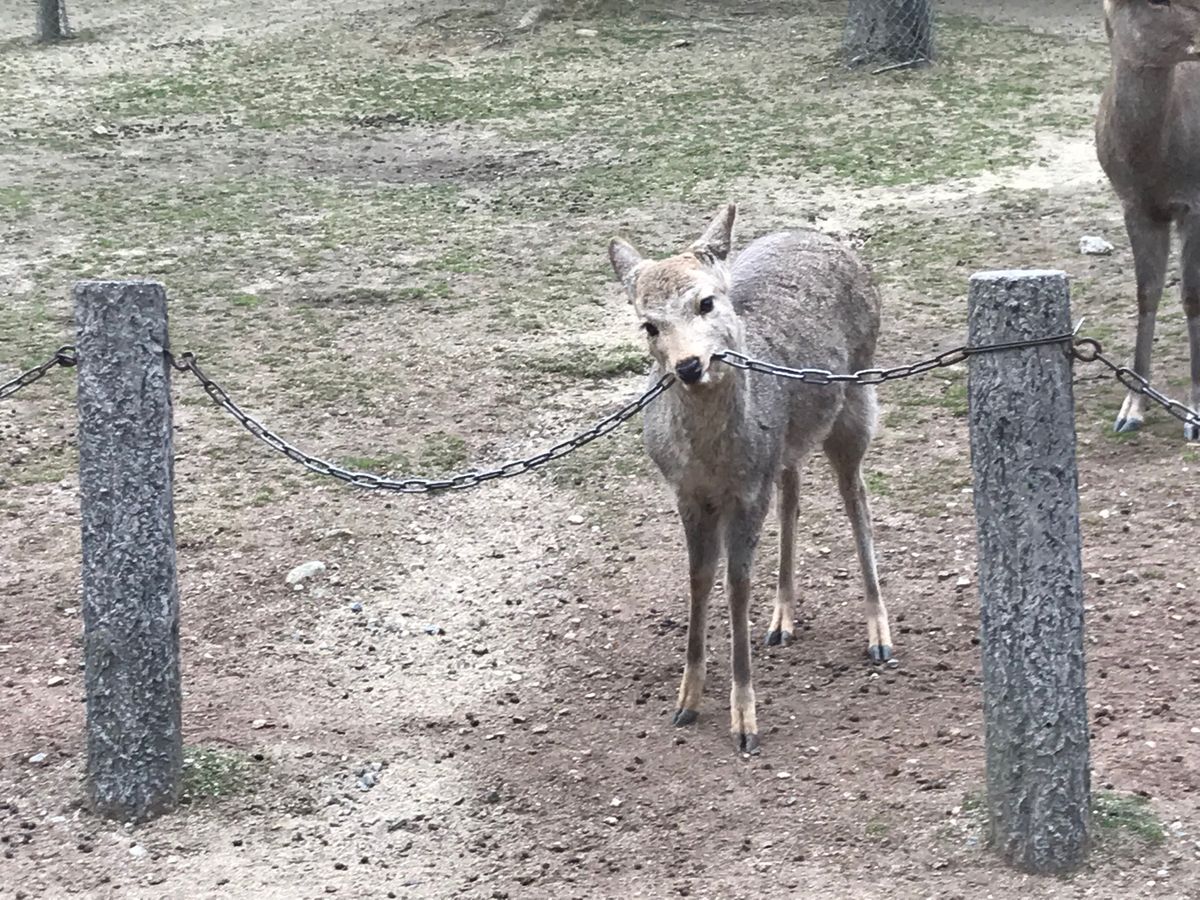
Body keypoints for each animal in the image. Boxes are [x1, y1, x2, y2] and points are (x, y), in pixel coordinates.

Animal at [608, 205, 893, 754]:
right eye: (648, 324)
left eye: (705, 301)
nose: (689, 365)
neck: (716, 461)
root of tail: (821, 237)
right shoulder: (687, 491)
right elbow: (698, 577)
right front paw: (686, 701)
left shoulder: (748, 489)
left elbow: (737, 583)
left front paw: (744, 720)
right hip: (789, 442)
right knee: (794, 490)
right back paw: (782, 620)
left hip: (857, 397)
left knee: (856, 497)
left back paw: (879, 637)